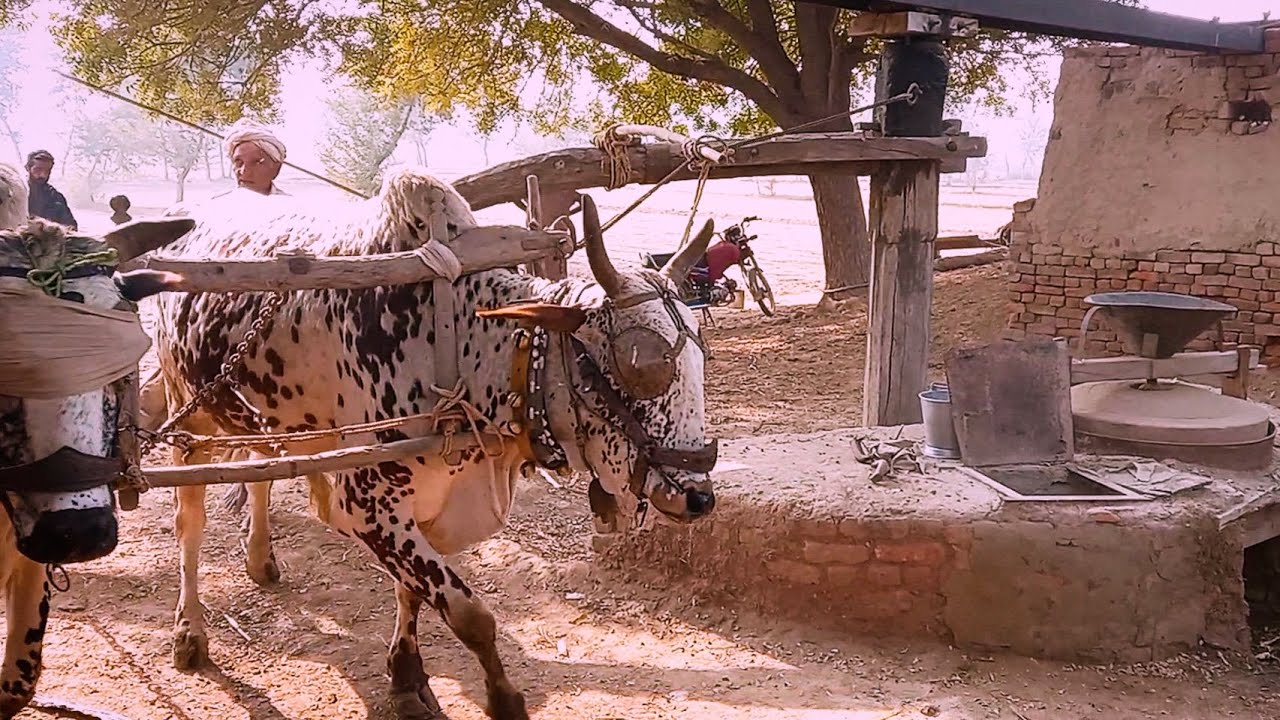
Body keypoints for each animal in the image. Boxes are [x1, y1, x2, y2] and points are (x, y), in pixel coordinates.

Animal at [149, 168, 719, 720]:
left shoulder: (421, 503)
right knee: (189, 523)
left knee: (260, 478)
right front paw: (503, 698)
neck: (451, 338)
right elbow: (471, 616)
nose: (698, 497)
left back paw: (260, 560)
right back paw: (189, 634)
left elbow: (412, 594)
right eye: (640, 363)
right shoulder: (368, 507)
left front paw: (405, 678)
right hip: (189, 418)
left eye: (700, 358)